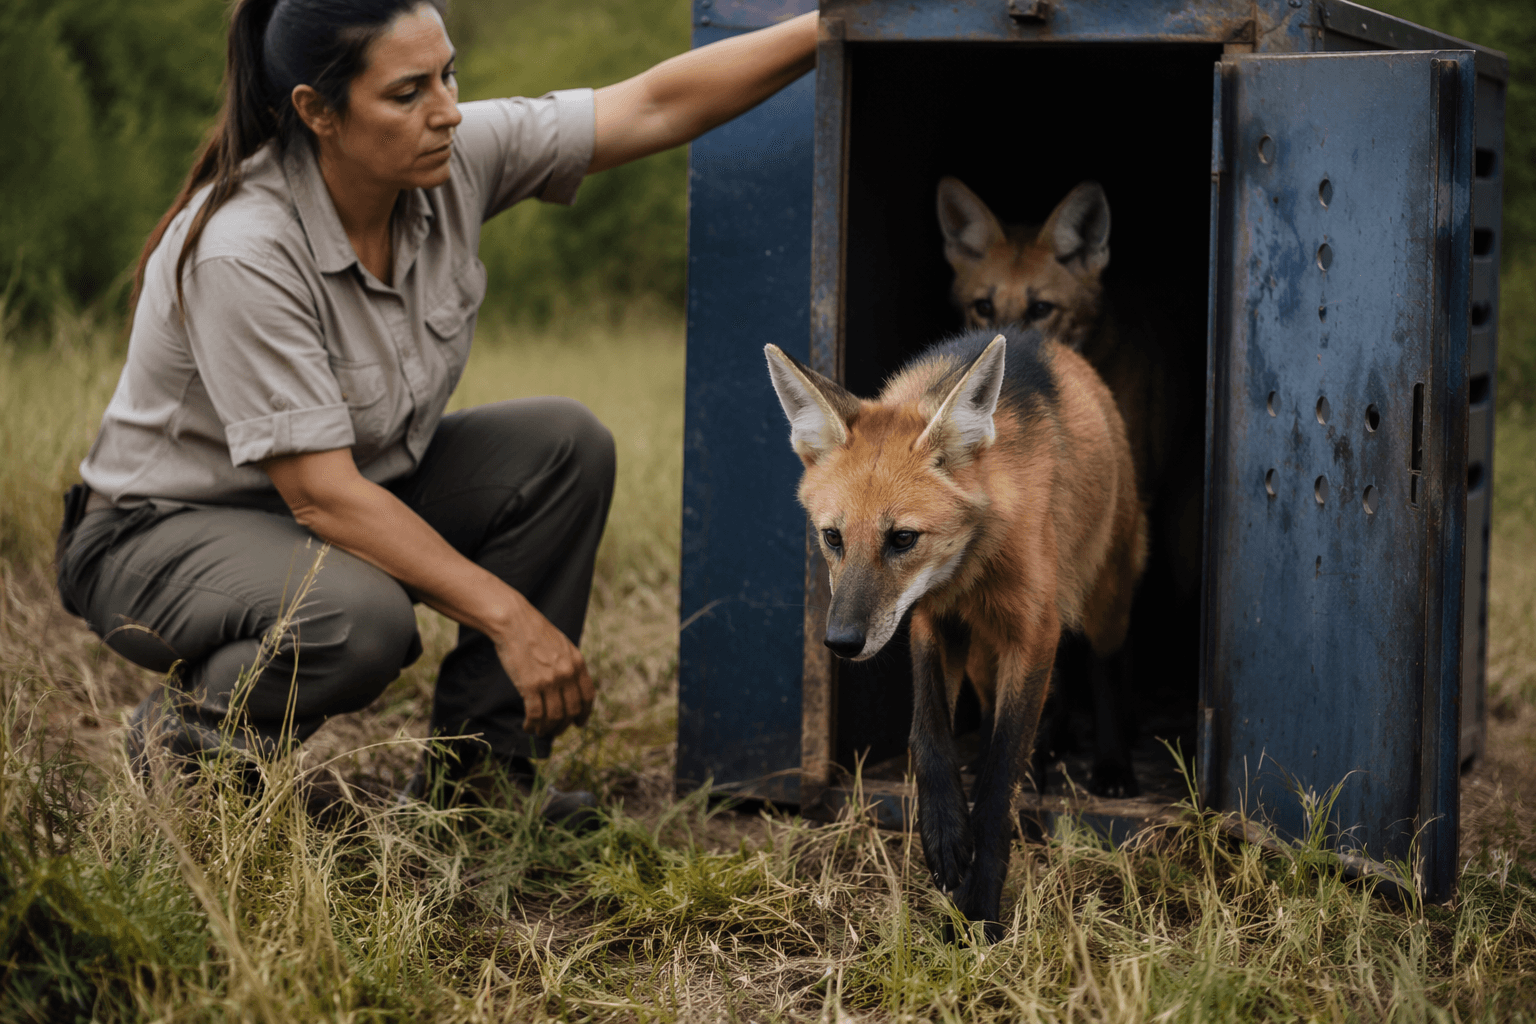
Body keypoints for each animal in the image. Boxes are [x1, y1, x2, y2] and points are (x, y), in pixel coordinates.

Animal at [765, 325, 1147, 939]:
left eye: (902, 539)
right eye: (832, 537)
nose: (841, 643)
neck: (969, 571)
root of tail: (1042, 339)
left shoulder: (1034, 629)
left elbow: (999, 778)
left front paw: (979, 911)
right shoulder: (930, 618)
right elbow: (929, 733)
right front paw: (944, 833)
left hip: (1103, 599)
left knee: (1101, 665)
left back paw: (1112, 766)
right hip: (982, 647)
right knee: (994, 709)